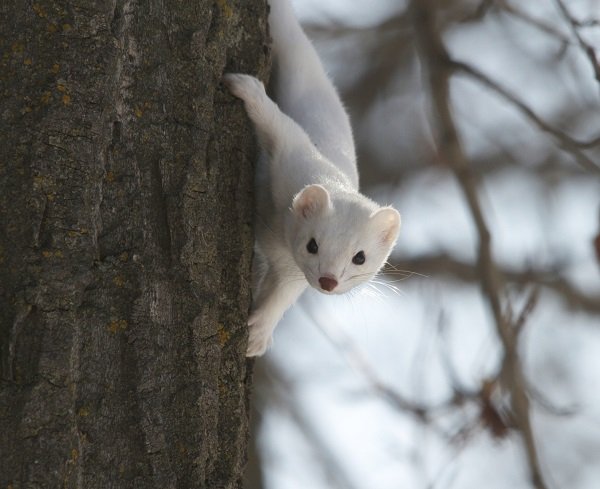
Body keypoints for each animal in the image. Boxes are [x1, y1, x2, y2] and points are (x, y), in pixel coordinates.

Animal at [223, 0, 400, 354]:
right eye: (313, 244)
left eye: (360, 256)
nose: (328, 280)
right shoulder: (295, 156)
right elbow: (279, 125)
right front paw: (245, 88)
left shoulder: (291, 270)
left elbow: (285, 293)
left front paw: (257, 334)